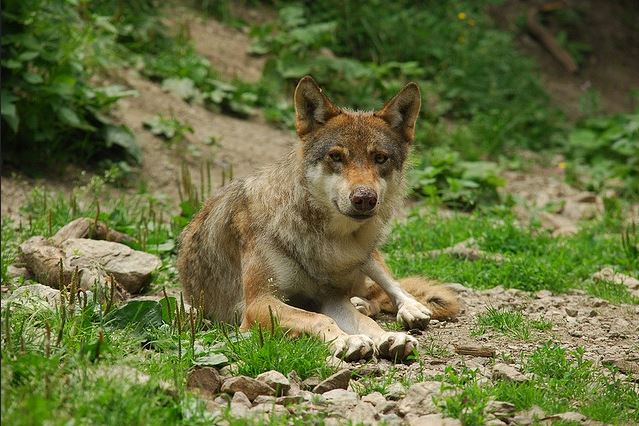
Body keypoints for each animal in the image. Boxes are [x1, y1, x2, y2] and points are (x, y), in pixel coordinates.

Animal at [178, 76, 460, 360]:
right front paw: (347, 340)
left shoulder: (330, 298)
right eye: (336, 156)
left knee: (390, 286)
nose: (364, 198)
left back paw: (409, 309)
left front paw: (387, 337)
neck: (325, 239)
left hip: (366, 255)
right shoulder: (259, 303)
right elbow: (317, 318)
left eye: (380, 158)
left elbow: (363, 321)